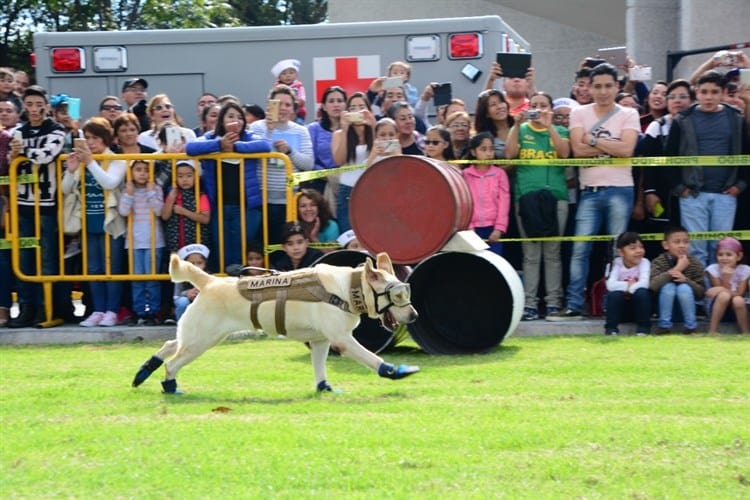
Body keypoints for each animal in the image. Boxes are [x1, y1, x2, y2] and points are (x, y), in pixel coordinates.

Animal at [134, 252, 424, 392]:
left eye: (406, 292)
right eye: (398, 295)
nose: (415, 316)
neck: (347, 290)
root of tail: (210, 281)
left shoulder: (321, 341)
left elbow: (320, 369)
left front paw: (324, 388)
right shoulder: (342, 339)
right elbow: (372, 359)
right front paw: (395, 370)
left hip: (202, 335)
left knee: (170, 344)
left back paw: (144, 370)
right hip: (201, 340)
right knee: (172, 363)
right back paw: (170, 387)